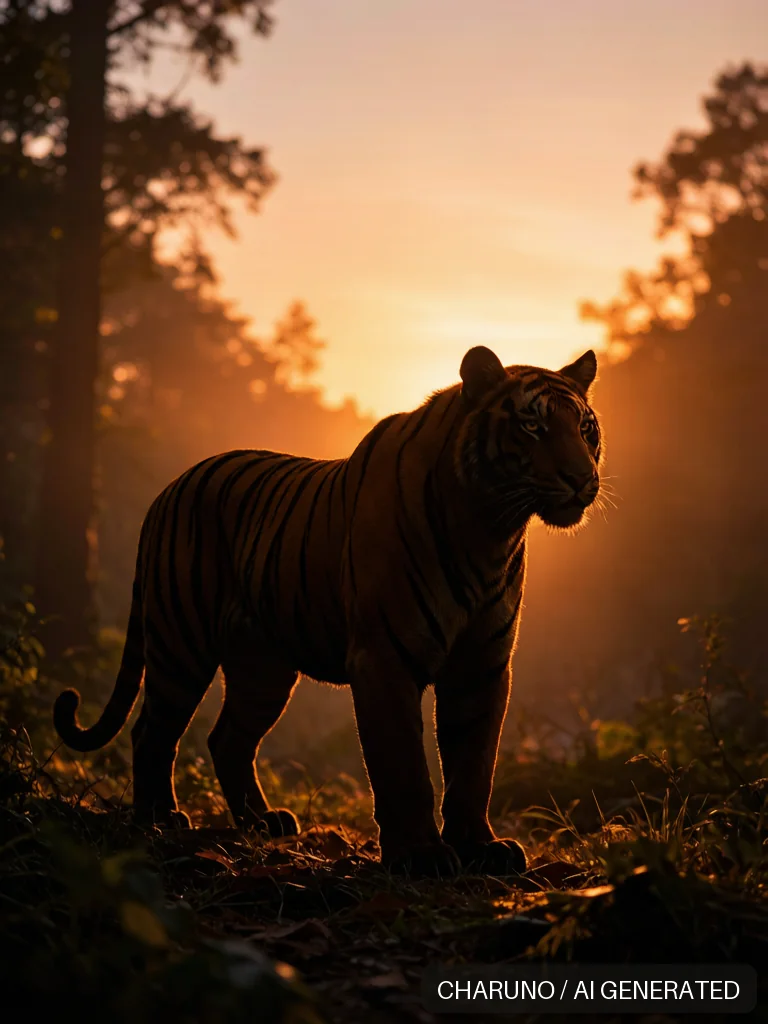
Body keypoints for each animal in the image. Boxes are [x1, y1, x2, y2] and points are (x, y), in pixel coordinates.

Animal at [54, 345, 602, 877]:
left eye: (585, 429)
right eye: (532, 426)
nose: (582, 478)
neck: (488, 529)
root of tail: (168, 489)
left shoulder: (481, 665)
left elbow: (474, 764)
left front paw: (480, 848)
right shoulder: (385, 657)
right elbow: (404, 765)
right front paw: (419, 855)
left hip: (263, 669)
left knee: (227, 737)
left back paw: (262, 822)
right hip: (180, 642)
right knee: (152, 730)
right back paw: (159, 818)